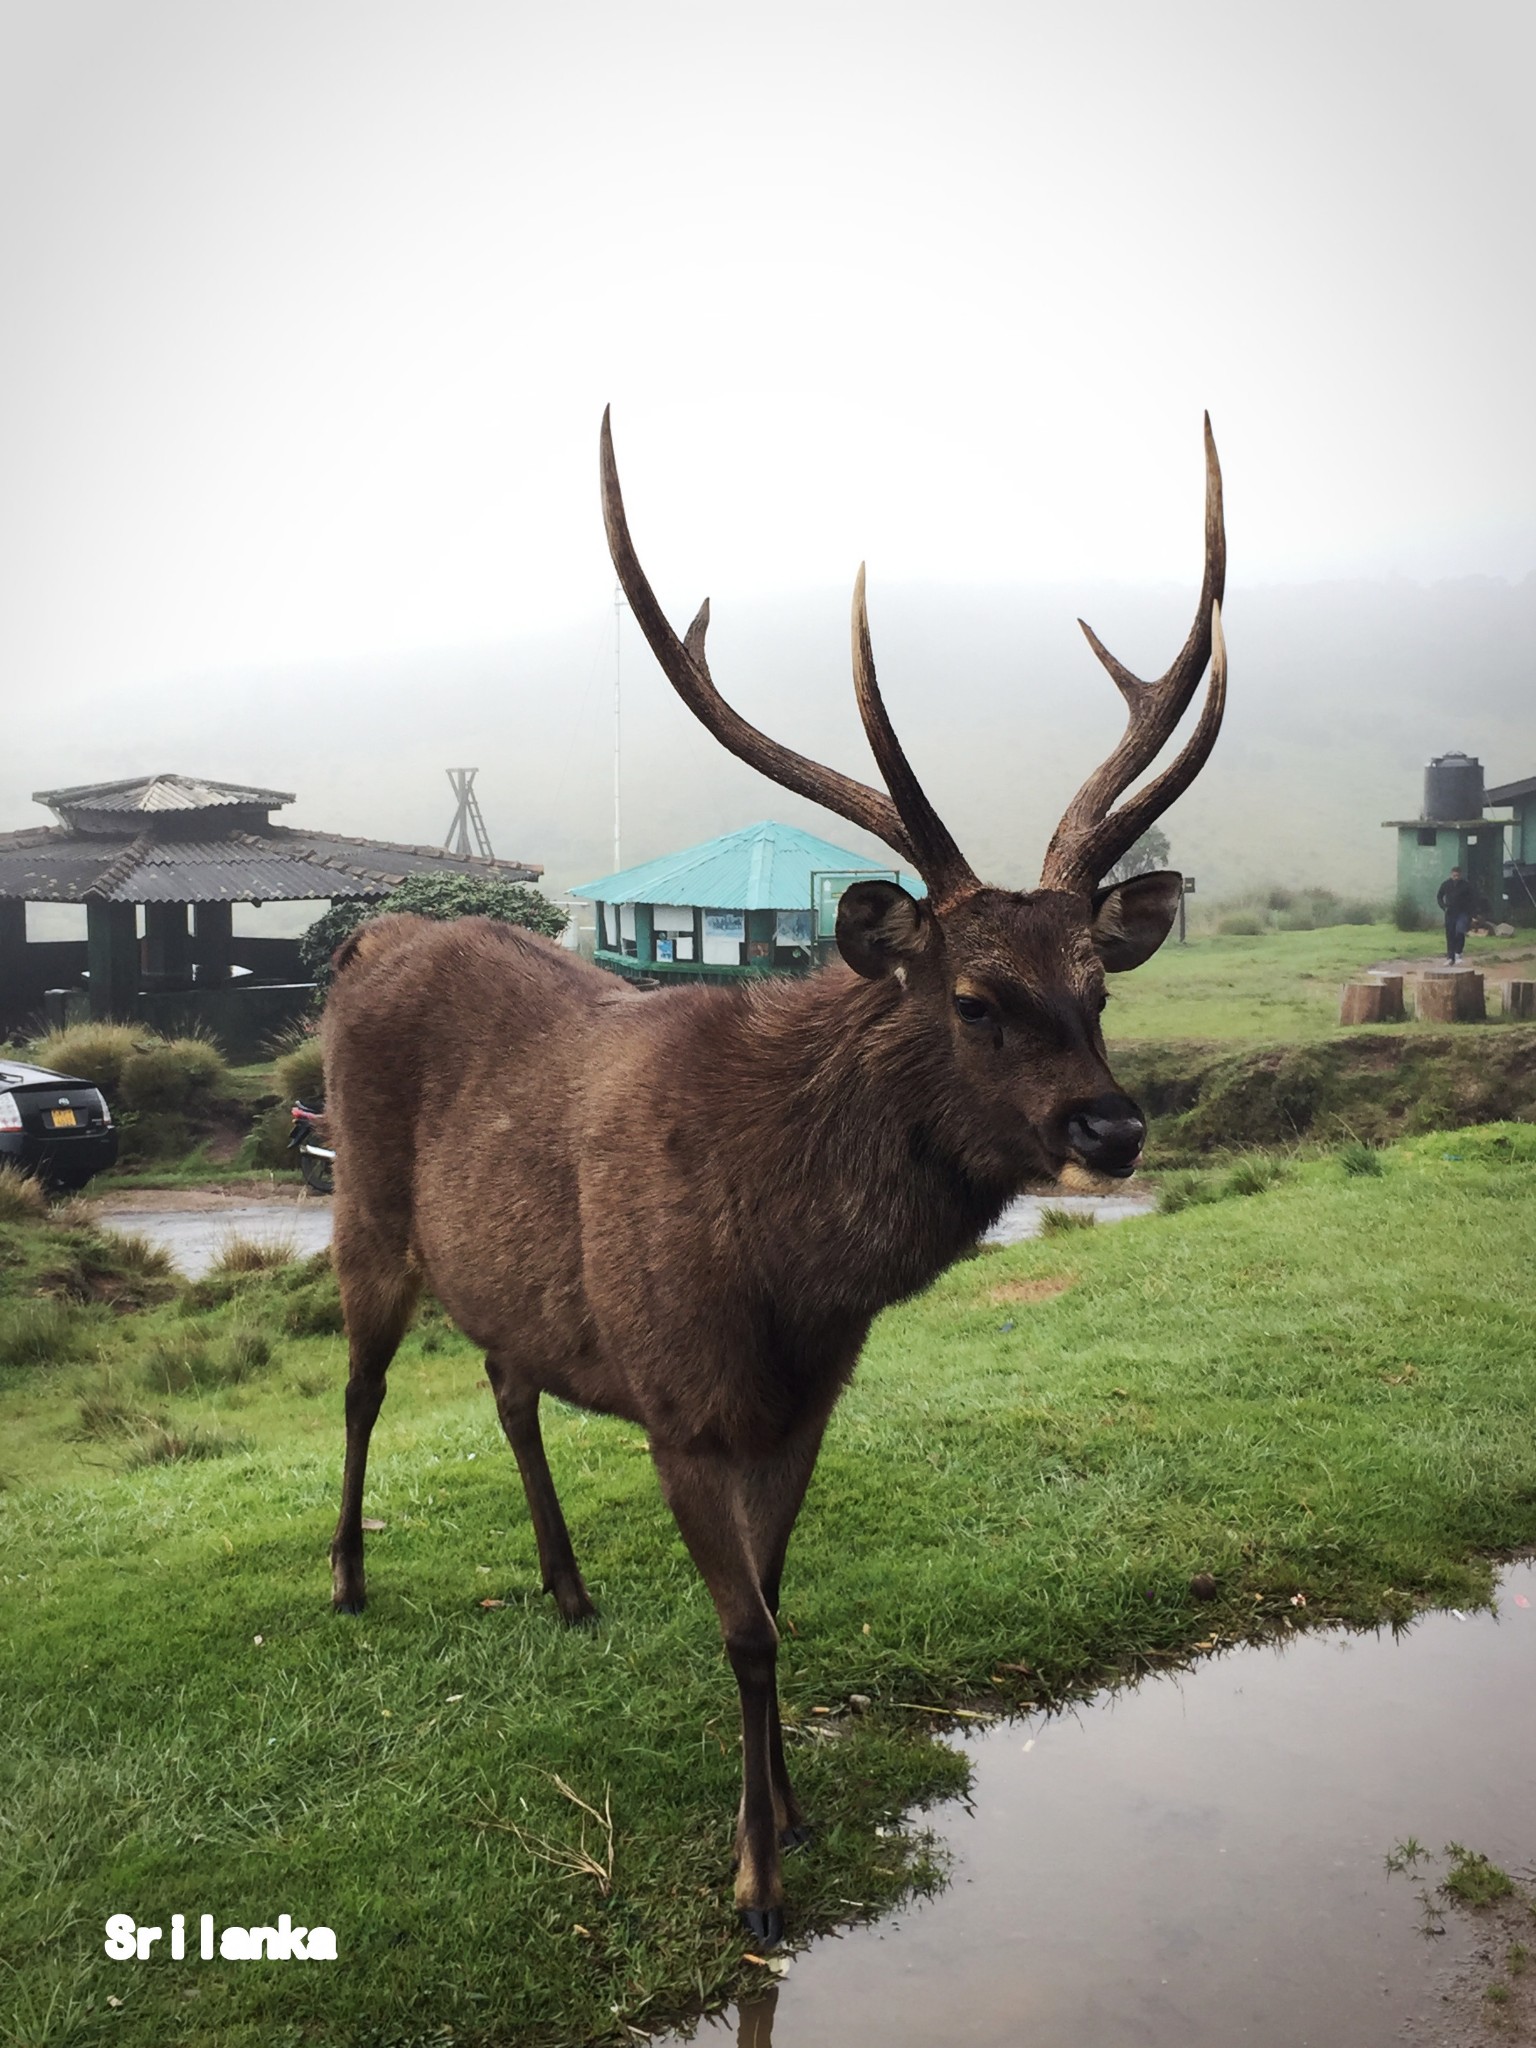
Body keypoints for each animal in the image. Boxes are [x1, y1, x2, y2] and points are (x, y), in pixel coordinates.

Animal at [325, 407, 1228, 1941]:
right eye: (975, 997)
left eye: (1100, 985)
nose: (1113, 1130)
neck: (789, 1271)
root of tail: (371, 937)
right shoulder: (681, 1400)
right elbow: (744, 1627)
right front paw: (753, 1874)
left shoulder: (807, 1398)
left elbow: (783, 1591)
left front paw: (795, 1811)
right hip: (360, 1209)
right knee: (363, 1384)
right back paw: (344, 1578)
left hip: (505, 1273)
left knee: (507, 1379)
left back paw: (567, 1589)